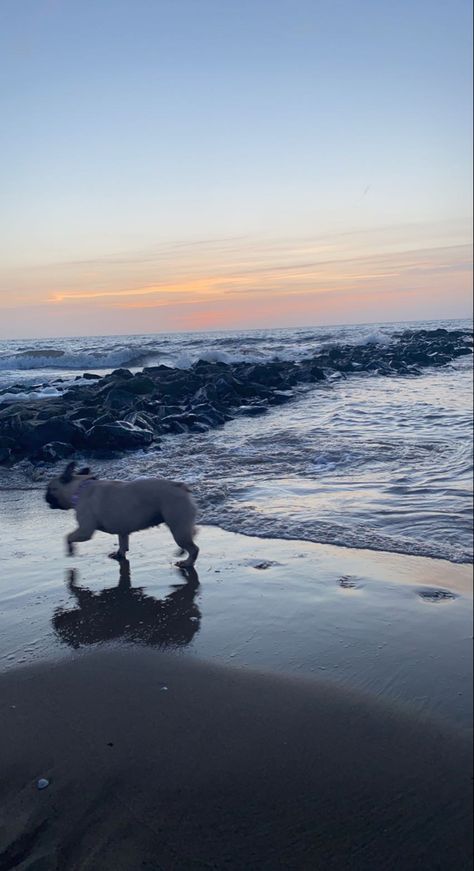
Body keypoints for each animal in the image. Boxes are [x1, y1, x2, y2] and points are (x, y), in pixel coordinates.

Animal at [45, 460, 199, 568]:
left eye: (50, 488)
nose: (44, 497)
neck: (79, 489)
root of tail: (180, 487)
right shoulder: (122, 529)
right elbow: (122, 542)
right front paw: (119, 554)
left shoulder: (84, 531)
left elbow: (68, 536)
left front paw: (70, 549)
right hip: (180, 526)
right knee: (193, 532)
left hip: (178, 529)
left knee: (194, 548)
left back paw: (187, 563)